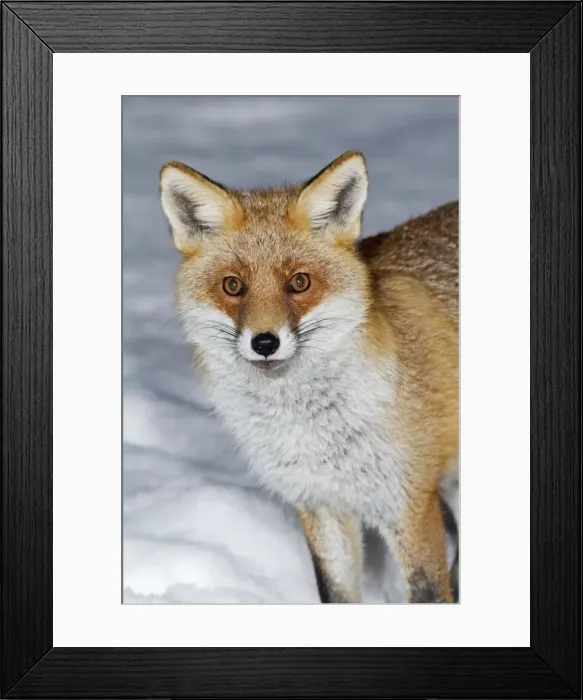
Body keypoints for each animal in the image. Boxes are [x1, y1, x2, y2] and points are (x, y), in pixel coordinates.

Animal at [159, 151, 459, 603]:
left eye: (299, 282)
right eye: (233, 286)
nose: (265, 342)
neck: (311, 433)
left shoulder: (408, 506)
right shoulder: (320, 503)